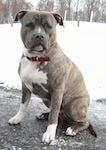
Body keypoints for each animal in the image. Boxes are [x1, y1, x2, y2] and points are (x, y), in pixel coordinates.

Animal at [8, 9, 96, 144]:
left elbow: (53, 115)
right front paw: (17, 118)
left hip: (72, 106)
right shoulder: (25, 86)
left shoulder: (57, 91)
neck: (37, 57)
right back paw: (44, 114)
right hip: (46, 100)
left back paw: (73, 129)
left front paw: (49, 134)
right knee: (59, 114)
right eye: (29, 24)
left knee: (84, 122)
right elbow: (23, 105)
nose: (39, 36)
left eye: (48, 26)